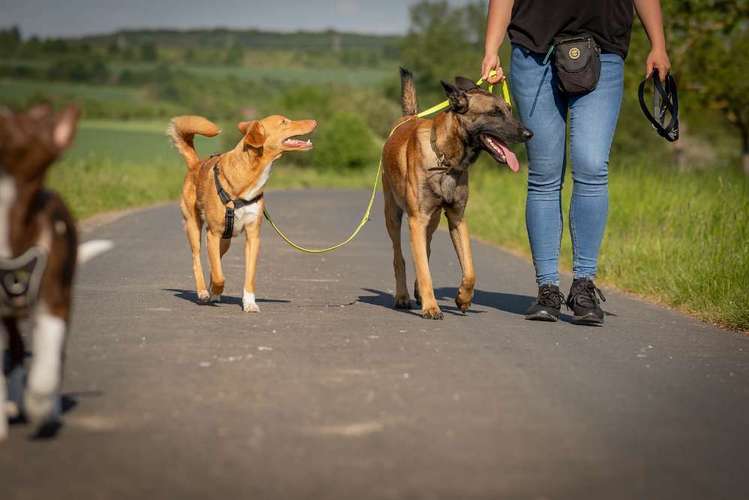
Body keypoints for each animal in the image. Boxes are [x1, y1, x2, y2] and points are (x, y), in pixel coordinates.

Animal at [169, 115, 316, 314]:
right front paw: (216, 290)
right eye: (284, 122)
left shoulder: (253, 236)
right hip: (194, 227)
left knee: (215, 261)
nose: (314, 121)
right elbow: (219, 275)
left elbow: (248, 275)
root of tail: (195, 165)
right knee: (197, 260)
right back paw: (204, 292)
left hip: (225, 240)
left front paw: (249, 302)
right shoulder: (213, 233)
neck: (249, 176)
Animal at [382, 68, 536, 318]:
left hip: (432, 222)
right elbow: (423, 270)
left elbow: (470, 269)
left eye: (509, 110)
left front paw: (463, 298)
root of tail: (409, 118)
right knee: (400, 258)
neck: (445, 159)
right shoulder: (417, 220)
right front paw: (431, 307)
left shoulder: (457, 219)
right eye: (494, 113)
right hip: (394, 216)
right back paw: (403, 296)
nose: (529, 133)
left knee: (426, 249)